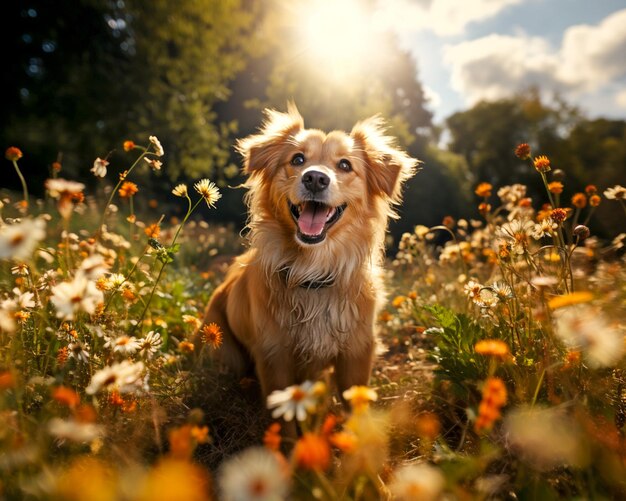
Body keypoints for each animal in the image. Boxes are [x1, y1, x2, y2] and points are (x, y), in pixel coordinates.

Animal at [200, 104, 414, 406]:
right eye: (297, 159)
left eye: (345, 165)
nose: (315, 178)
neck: (313, 270)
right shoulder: (274, 357)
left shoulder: (357, 353)